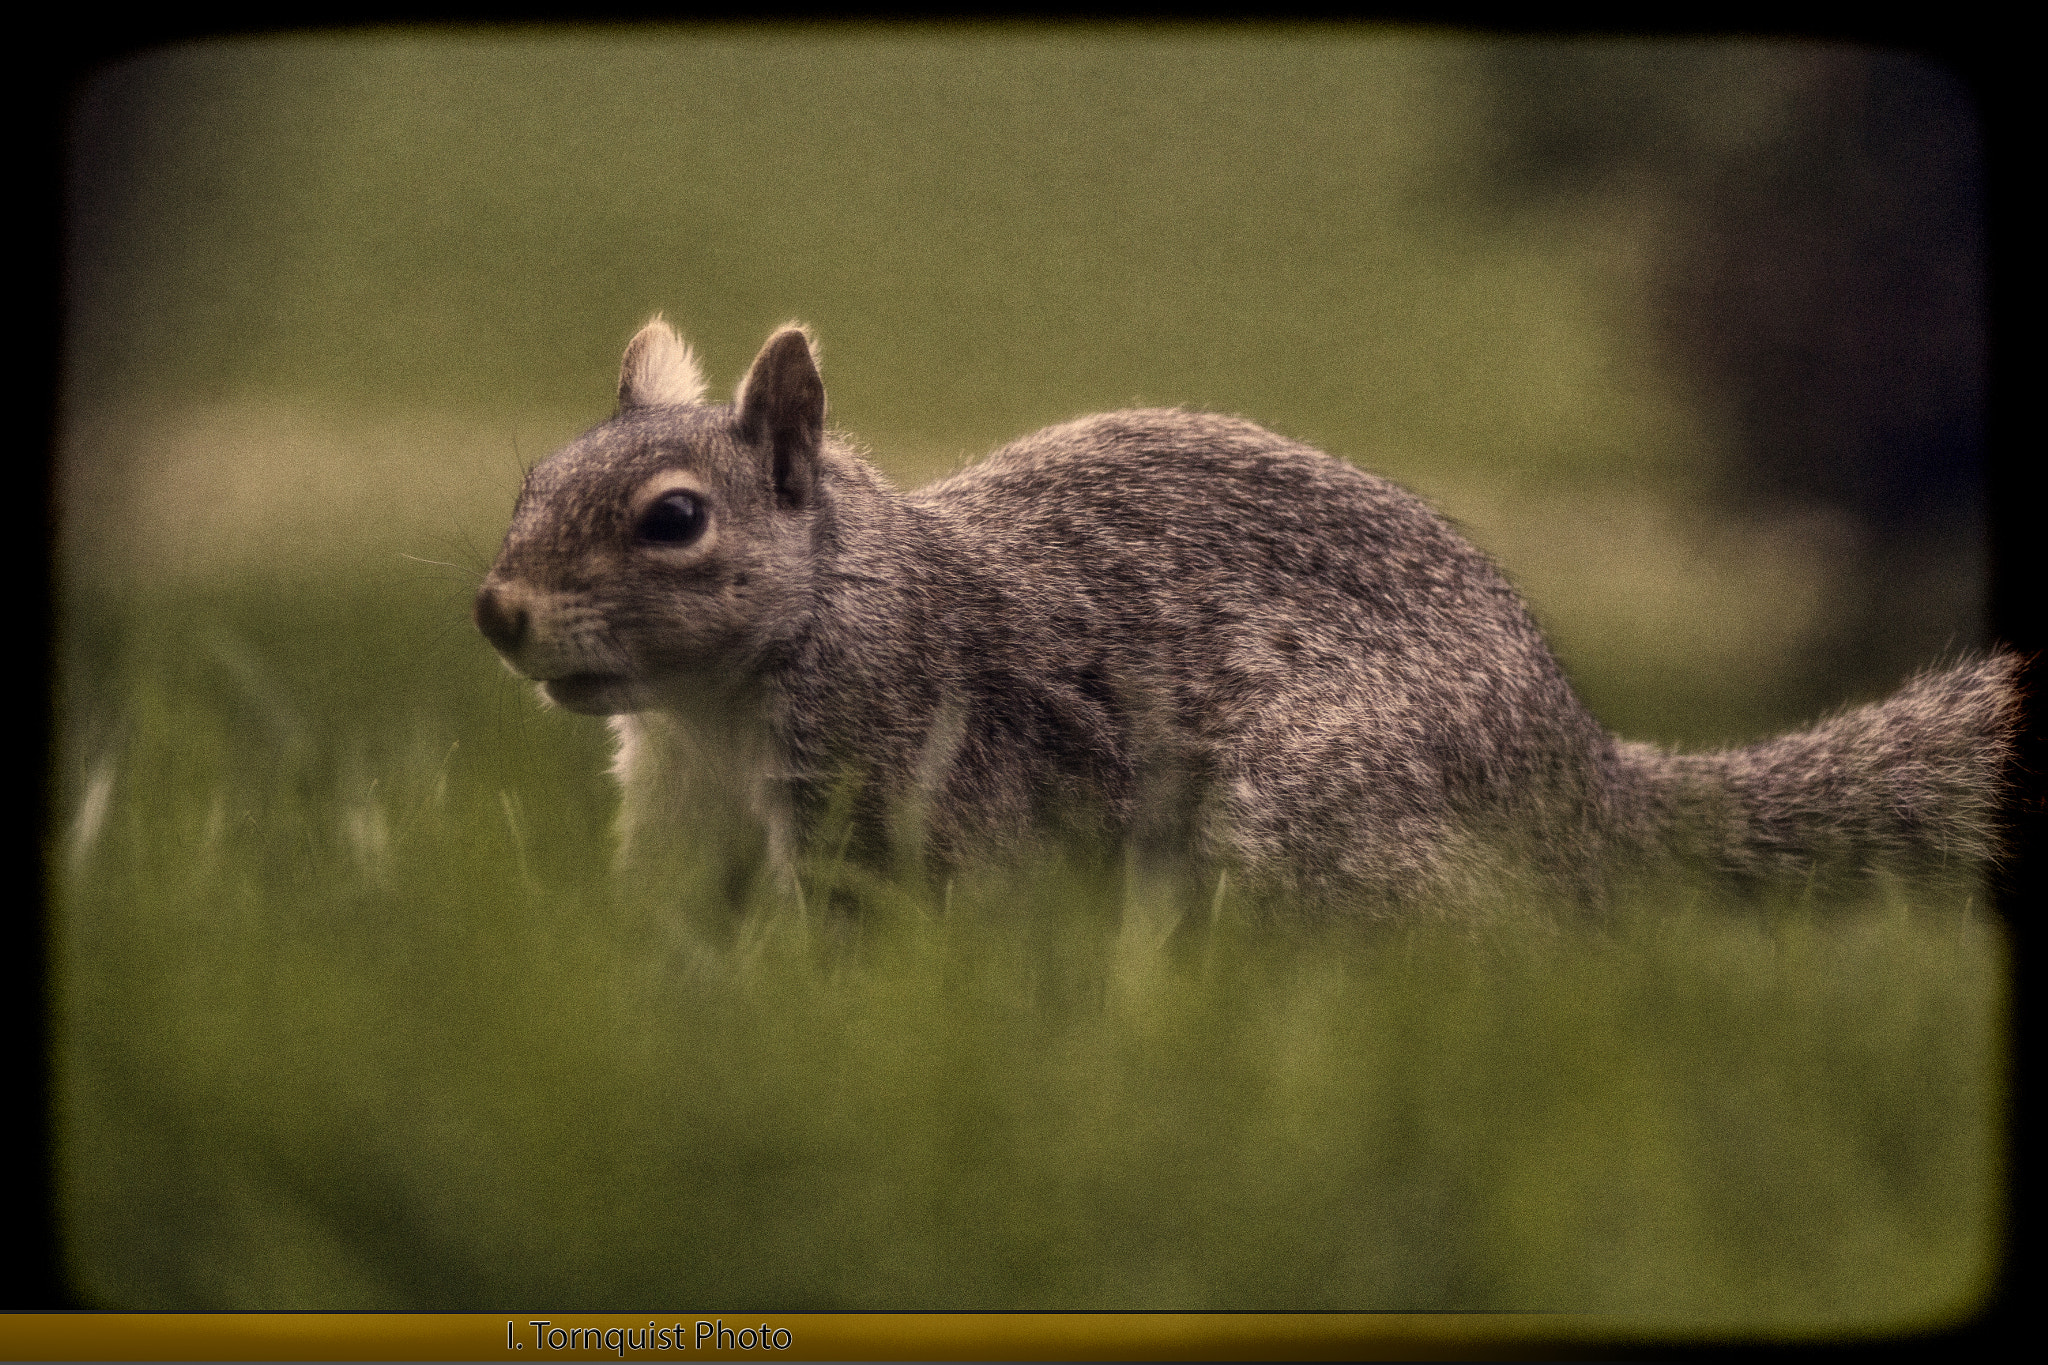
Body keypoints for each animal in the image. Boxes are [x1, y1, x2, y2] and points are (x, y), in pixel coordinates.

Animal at [475, 319, 2015, 916]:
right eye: (531, 481)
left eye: (676, 520)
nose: (497, 611)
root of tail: (1578, 783)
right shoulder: (686, 818)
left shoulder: (899, 778)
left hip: (1317, 818)